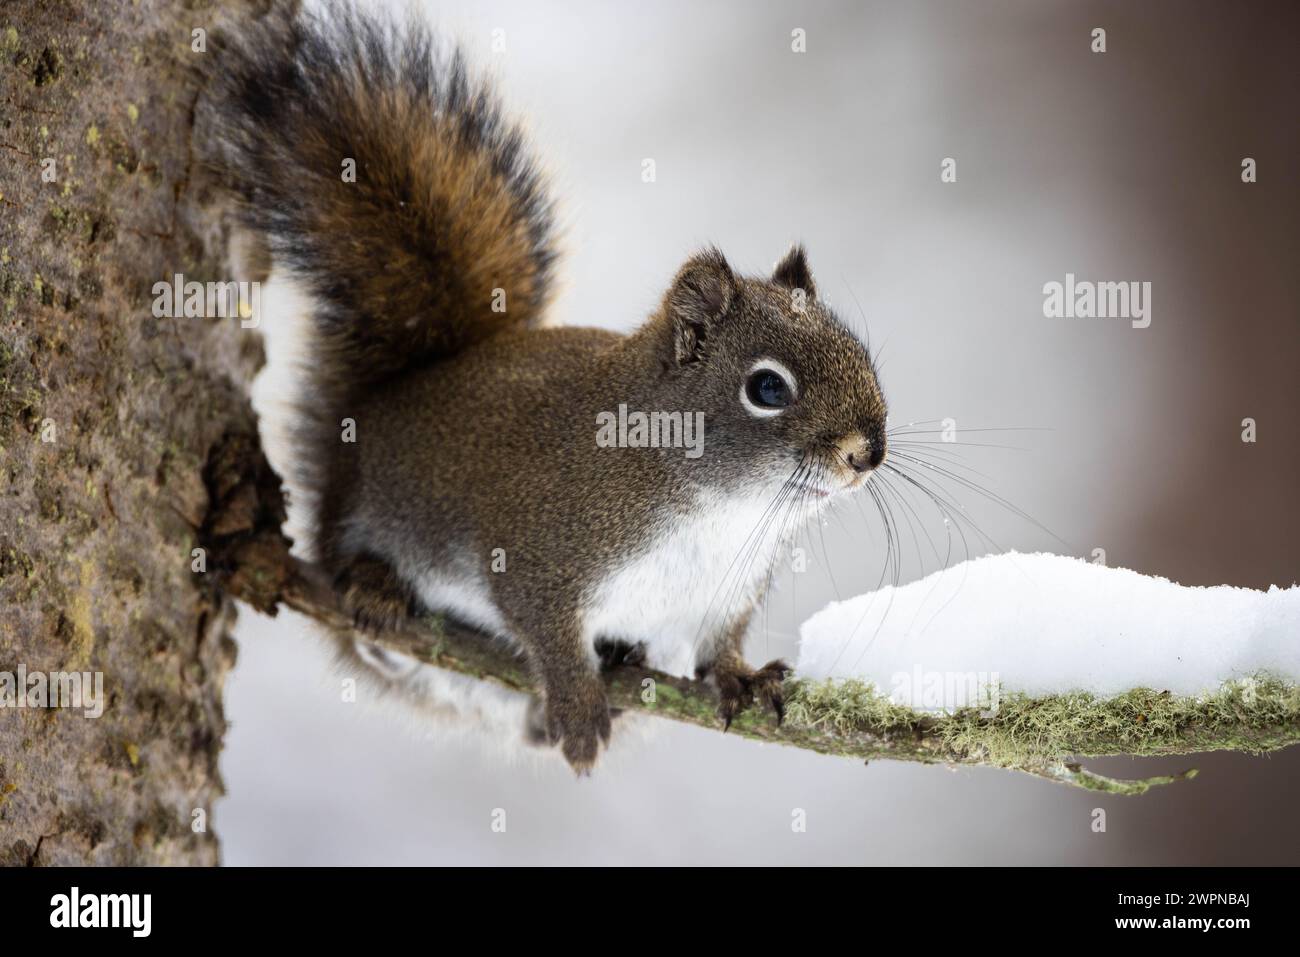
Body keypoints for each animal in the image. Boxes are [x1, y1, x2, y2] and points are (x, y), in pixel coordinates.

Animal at [202, 1, 889, 769]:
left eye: (861, 351)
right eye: (767, 389)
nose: (867, 453)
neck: (721, 508)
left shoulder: (724, 596)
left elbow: (719, 646)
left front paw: (740, 674)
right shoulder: (540, 549)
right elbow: (547, 629)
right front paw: (578, 702)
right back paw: (376, 589)